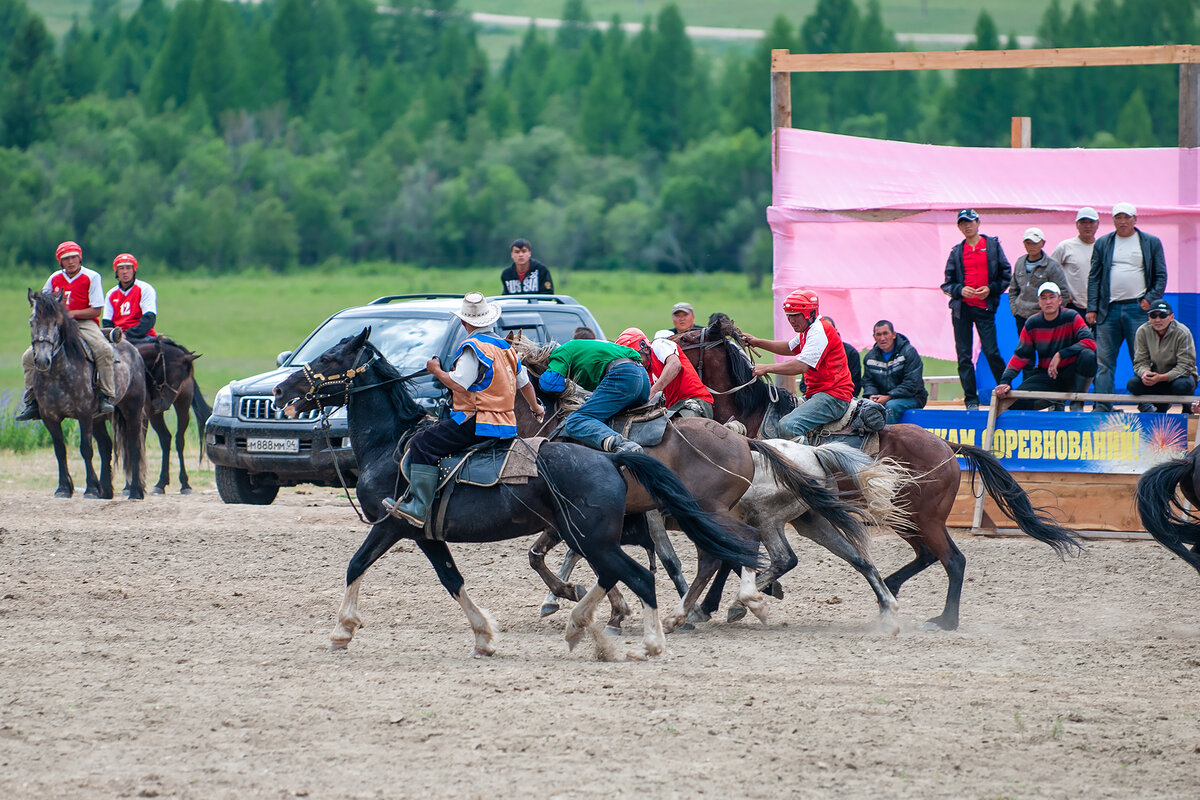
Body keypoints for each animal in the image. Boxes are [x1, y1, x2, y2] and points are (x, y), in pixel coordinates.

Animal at [26, 287, 147, 501]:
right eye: (32, 322)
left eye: (56, 323)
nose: (41, 360)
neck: (58, 373)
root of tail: (132, 349)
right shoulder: (50, 418)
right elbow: (60, 451)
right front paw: (63, 488)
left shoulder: (83, 415)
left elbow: (86, 449)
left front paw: (90, 489)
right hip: (98, 418)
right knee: (106, 446)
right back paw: (106, 491)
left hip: (132, 410)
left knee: (133, 445)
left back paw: (135, 491)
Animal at [139, 338, 214, 494]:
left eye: (181, 378)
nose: (161, 404)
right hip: (155, 415)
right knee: (165, 438)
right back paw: (160, 483)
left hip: (181, 408)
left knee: (179, 440)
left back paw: (184, 484)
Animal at [271, 328, 758, 662]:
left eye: (330, 356)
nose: (279, 390)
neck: (393, 446)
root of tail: (614, 456)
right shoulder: (428, 535)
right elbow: (453, 579)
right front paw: (485, 636)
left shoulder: (395, 524)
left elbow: (356, 564)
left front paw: (342, 630)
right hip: (594, 534)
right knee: (636, 570)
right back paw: (596, 624)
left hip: (603, 534)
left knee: (654, 571)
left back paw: (658, 636)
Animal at [681, 311, 1084, 633]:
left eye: (685, 339)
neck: (751, 419)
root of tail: (947, 446)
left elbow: (730, 556)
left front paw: (713, 606)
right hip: (904, 517)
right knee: (927, 556)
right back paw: (892, 587)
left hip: (926, 518)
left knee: (953, 560)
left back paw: (945, 620)